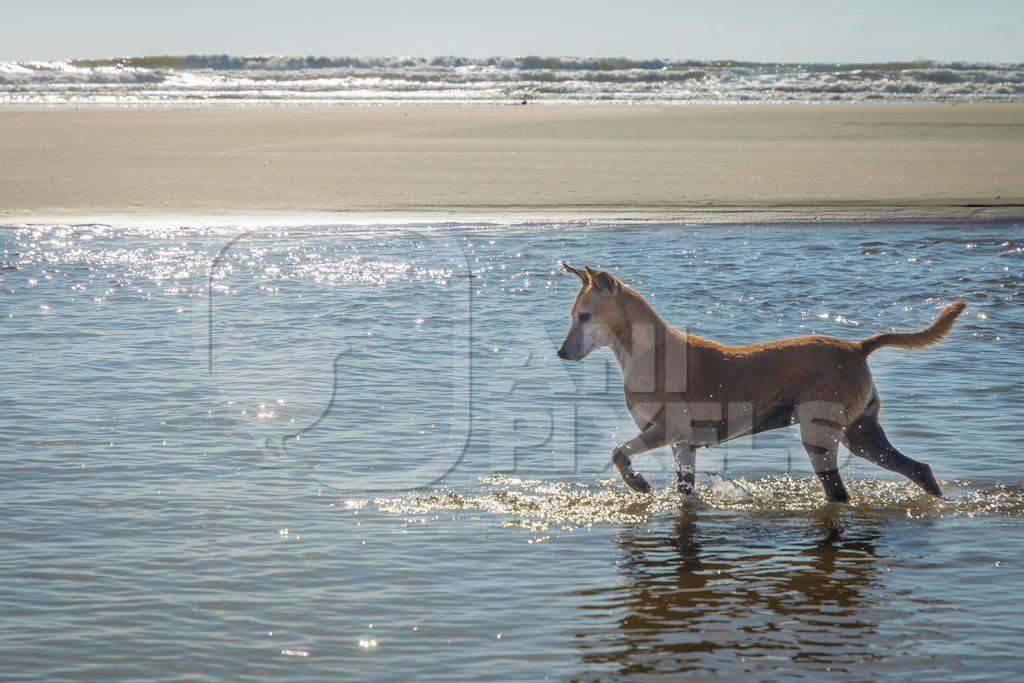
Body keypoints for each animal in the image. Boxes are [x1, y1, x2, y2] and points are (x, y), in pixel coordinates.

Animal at [557, 262, 962, 501]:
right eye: (572, 314)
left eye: (585, 316)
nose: (561, 353)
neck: (646, 349)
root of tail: (856, 348)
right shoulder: (683, 445)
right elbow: (684, 490)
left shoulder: (669, 430)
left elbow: (618, 452)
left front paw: (637, 482)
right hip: (862, 434)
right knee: (919, 470)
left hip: (820, 434)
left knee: (839, 492)